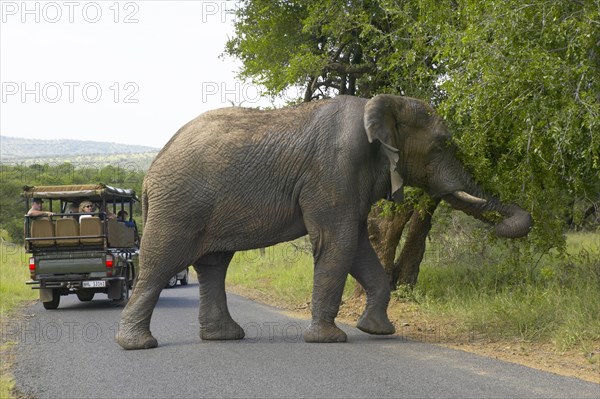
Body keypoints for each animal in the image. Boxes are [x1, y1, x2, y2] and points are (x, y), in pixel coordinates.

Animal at [115, 94, 532, 350]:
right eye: (443, 144)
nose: (504, 226)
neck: (379, 103)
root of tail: (149, 174)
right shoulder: (335, 170)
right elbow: (339, 243)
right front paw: (329, 340)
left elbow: (360, 248)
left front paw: (376, 330)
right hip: (179, 206)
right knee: (160, 264)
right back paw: (138, 345)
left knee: (214, 265)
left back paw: (225, 337)